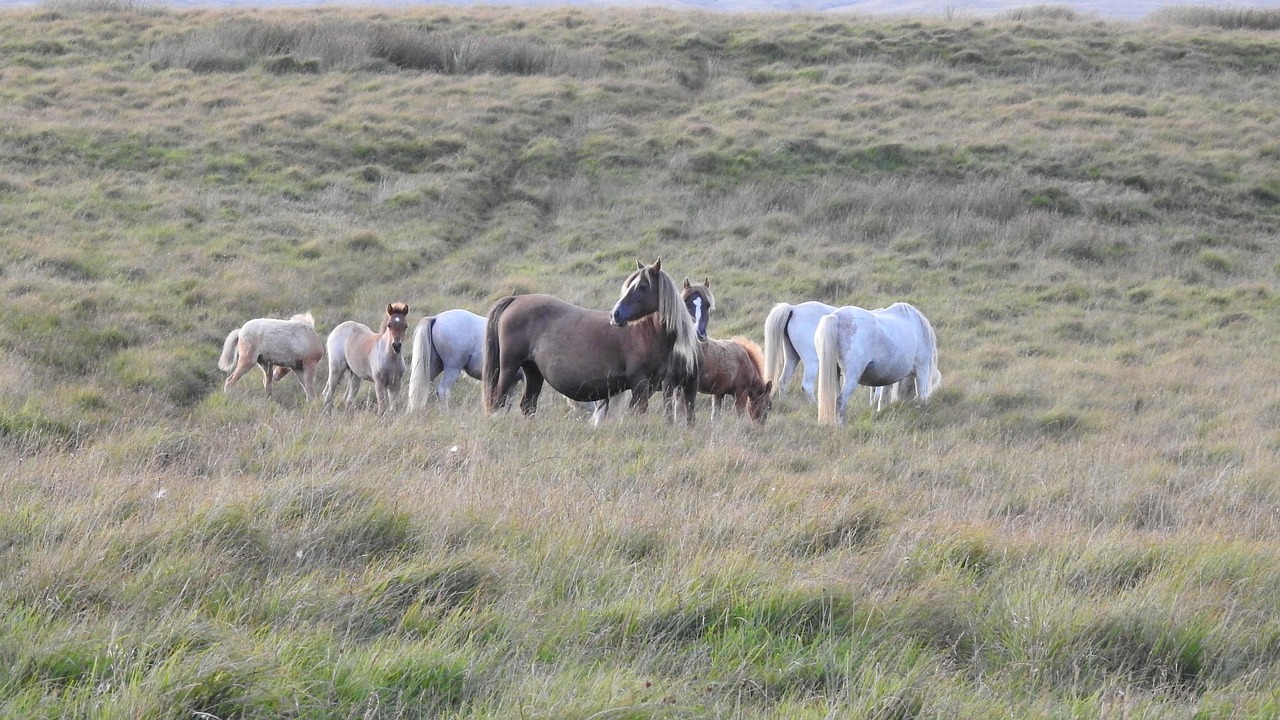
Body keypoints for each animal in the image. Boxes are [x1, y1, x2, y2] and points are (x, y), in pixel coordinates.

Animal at [483, 258, 701, 425]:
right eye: (630, 285)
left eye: (643, 286)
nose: (616, 314)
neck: (645, 332)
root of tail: (516, 299)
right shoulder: (639, 384)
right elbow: (637, 413)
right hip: (509, 368)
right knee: (498, 401)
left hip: (533, 371)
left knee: (528, 405)